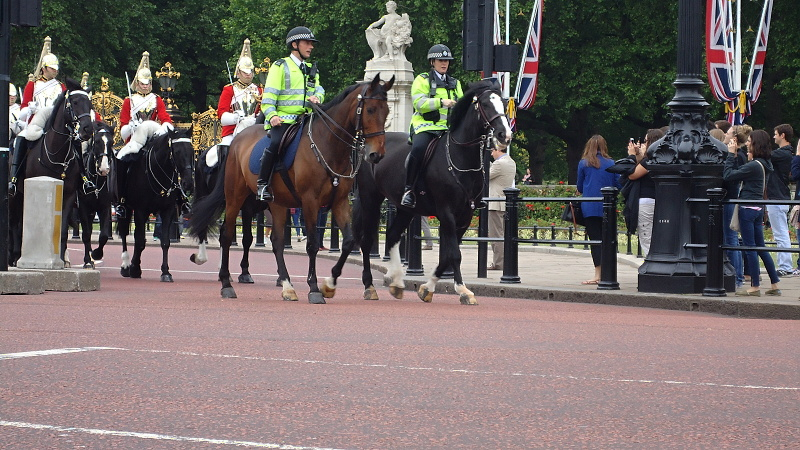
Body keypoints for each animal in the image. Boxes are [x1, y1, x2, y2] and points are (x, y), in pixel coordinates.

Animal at [8, 78, 94, 266]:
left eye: (90, 104)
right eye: (74, 102)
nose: (87, 130)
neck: (56, 153)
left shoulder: (68, 195)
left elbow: (62, 230)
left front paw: (60, 259)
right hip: (15, 196)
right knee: (15, 225)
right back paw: (14, 256)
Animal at [75, 119, 115, 268]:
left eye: (111, 142)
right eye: (97, 141)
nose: (104, 169)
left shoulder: (104, 207)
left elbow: (103, 235)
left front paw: (96, 254)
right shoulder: (82, 207)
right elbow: (86, 234)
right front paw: (87, 260)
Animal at [115, 127, 194, 282]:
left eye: (192, 150)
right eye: (177, 152)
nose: (188, 183)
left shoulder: (167, 211)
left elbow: (165, 242)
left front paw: (166, 272)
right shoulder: (141, 210)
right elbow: (140, 240)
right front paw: (135, 268)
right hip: (125, 207)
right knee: (124, 233)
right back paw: (126, 266)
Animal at [188, 146, 262, 284]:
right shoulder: (247, 208)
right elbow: (247, 238)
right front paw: (245, 273)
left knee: (223, 232)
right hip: (205, 195)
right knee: (204, 225)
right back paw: (201, 258)